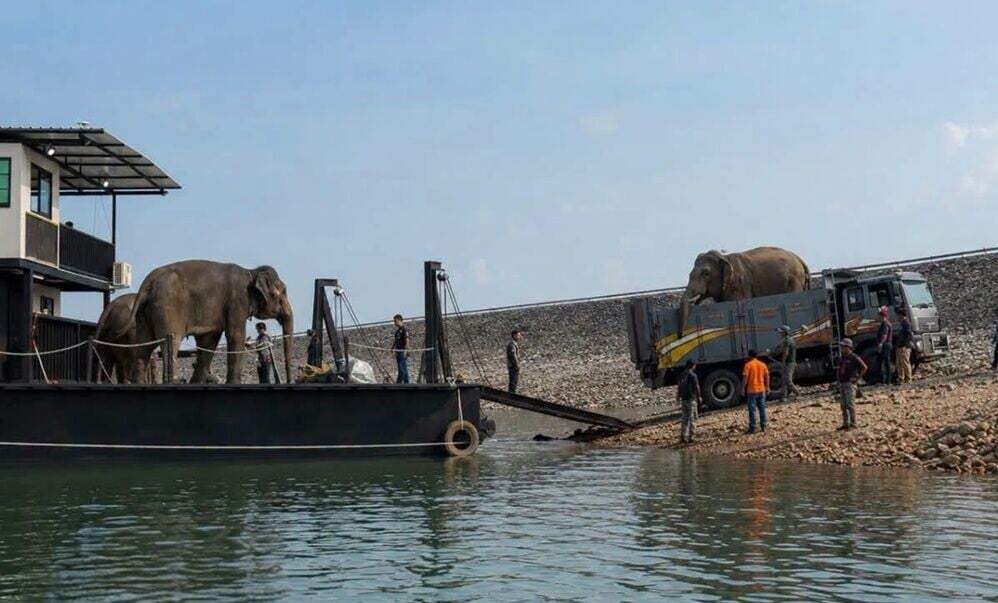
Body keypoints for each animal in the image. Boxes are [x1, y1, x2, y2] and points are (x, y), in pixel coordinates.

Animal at [122, 260, 295, 384]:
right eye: (282, 293)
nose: (288, 381)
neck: (251, 272)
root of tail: (148, 282)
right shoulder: (237, 301)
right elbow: (235, 336)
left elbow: (208, 342)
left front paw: (196, 382)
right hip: (167, 308)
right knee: (171, 341)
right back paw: (173, 381)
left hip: (144, 313)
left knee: (144, 346)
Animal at [678, 247, 811, 332]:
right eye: (690, 274)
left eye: (706, 273)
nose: (681, 335)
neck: (725, 257)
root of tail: (800, 260)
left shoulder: (739, 284)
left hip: (794, 281)